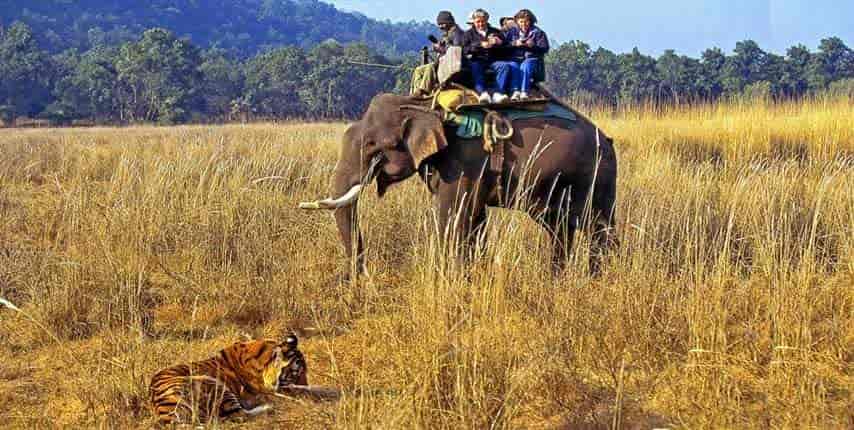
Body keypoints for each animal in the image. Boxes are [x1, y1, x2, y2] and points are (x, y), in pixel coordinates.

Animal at [149, 334, 310, 424]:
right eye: (297, 374)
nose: (306, 387)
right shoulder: (267, 392)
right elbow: (291, 398)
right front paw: (306, 401)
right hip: (214, 385)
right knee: (240, 415)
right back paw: (268, 407)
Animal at [304, 92, 620, 278]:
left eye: (372, 145)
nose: (356, 279)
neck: (426, 106)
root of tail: (608, 139)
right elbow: (475, 219)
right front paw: (471, 275)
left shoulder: (464, 162)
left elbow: (453, 215)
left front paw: (452, 279)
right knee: (560, 229)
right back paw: (557, 279)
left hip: (594, 178)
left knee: (597, 228)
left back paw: (598, 280)